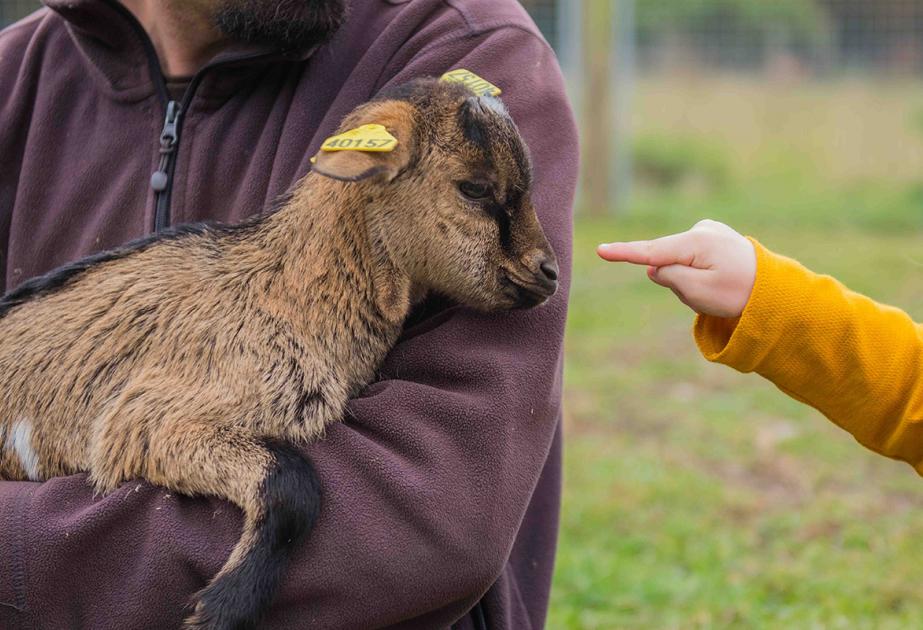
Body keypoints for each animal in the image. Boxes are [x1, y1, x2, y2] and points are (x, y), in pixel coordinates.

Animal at [0, 76, 560, 628]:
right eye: (475, 187)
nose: (549, 272)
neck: (283, 287)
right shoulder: (147, 419)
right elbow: (294, 484)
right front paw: (220, 609)